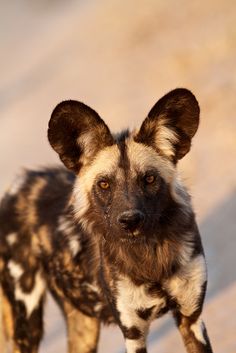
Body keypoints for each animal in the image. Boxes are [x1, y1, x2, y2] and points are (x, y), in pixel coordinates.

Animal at [0, 88, 213, 352]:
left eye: (149, 179)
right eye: (104, 184)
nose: (130, 221)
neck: (150, 256)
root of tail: (15, 187)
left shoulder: (191, 318)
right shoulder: (133, 333)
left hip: (83, 327)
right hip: (27, 321)